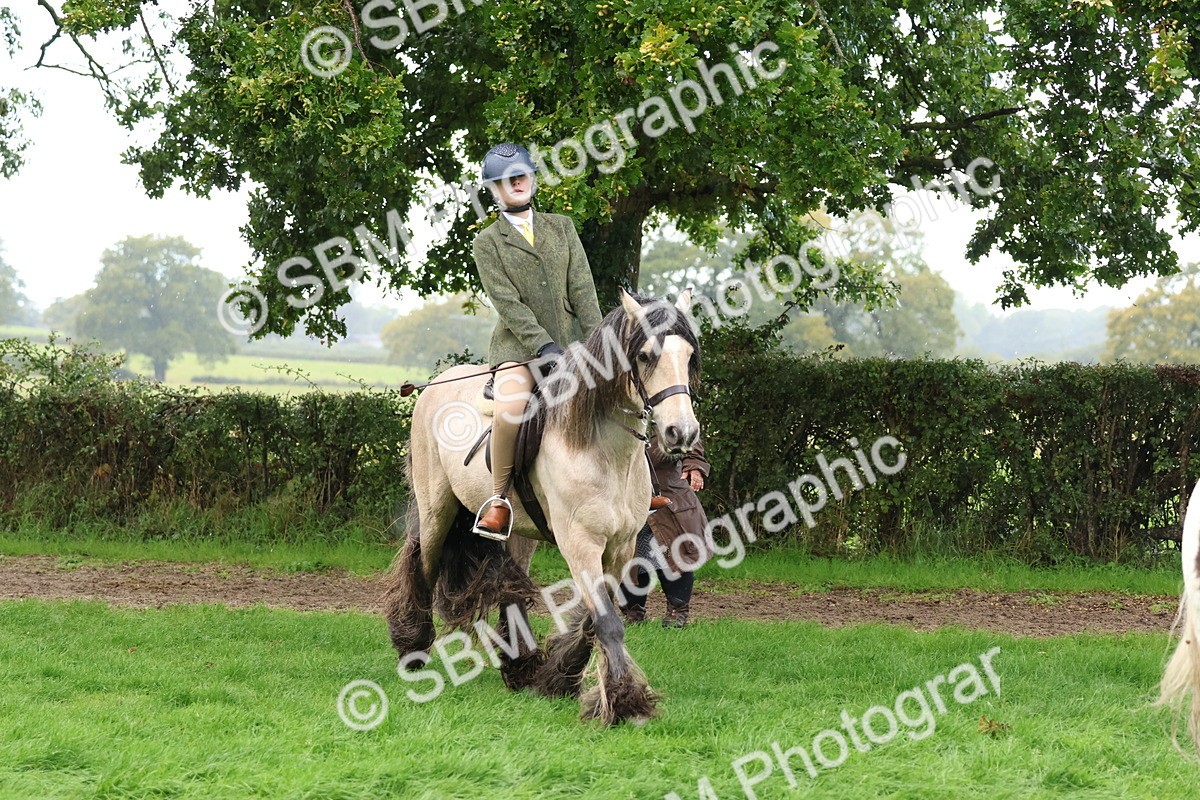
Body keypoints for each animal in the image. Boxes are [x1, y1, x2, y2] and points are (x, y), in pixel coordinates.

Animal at [381, 289, 701, 725]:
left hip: (516, 526)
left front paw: (560, 677)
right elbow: (607, 621)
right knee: (423, 566)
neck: (602, 449)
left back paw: (521, 668)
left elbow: (592, 620)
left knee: (511, 585)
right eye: (646, 355)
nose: (681, 433)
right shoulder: (580, 543)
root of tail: (434, 386)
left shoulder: (620, 548)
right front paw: (624, 702)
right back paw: (412, 649)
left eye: (688, 355)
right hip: (436, 512)